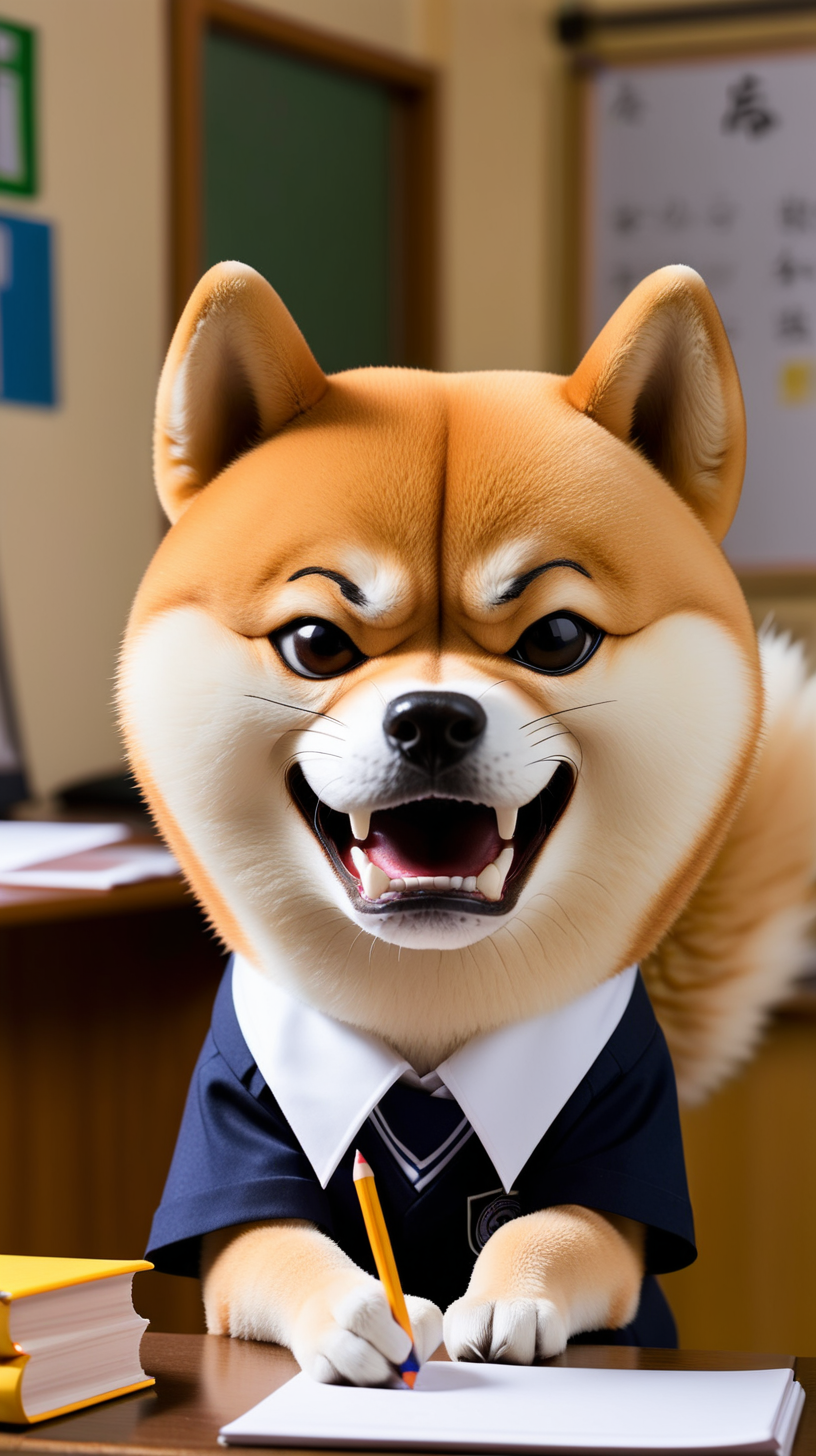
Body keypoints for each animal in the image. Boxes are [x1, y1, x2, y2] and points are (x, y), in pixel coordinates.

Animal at [120, 262, 816, 1386]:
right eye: (316, 643)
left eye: (559, 638)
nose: (433, 717)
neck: (430, 1018)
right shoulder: (229, 1142)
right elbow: (277, 1247)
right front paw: (360, 1306)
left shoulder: (627, 1132)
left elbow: (562, 1226)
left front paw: (513, 1291)